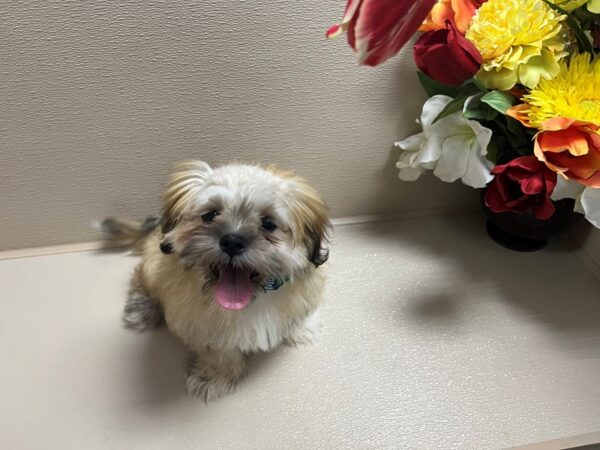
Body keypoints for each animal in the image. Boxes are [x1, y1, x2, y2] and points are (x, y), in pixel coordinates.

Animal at [101, 162, 330, 400]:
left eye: (268, 223)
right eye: (210, 215)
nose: (232, 241)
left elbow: (299, 314)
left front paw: (302, 327)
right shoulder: (202, 325)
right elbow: (220, 351)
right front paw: (216, 377)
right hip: (153, 264)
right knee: (140, 277)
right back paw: (141, 307)